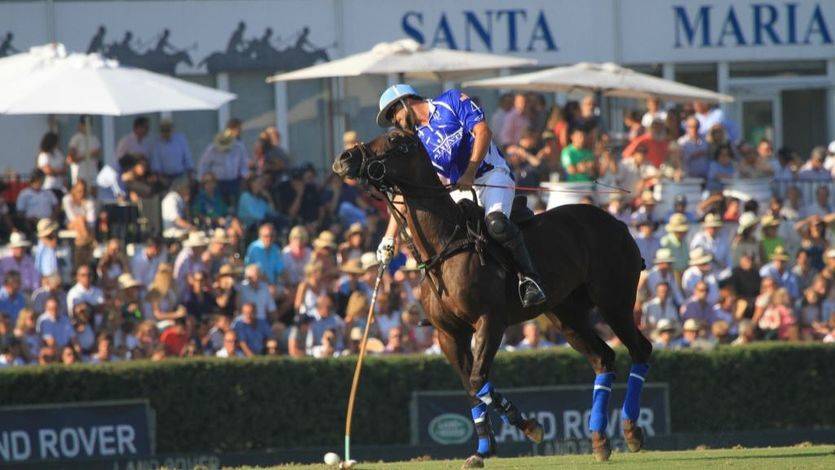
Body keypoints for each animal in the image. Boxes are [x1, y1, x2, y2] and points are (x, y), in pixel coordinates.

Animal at [334, 130, 652, 468]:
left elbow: (477, 380)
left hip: (614, 300)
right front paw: (484, 449)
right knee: (603, 358)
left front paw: (530, 426)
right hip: (566, 316)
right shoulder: (448, 334)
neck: (445, 246)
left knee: (640, 349)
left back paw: (631, 430)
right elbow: (471, 386)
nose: (344, 158)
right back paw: (600, 439)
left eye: (395, 139)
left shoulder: (489, 321)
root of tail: (617, 222)